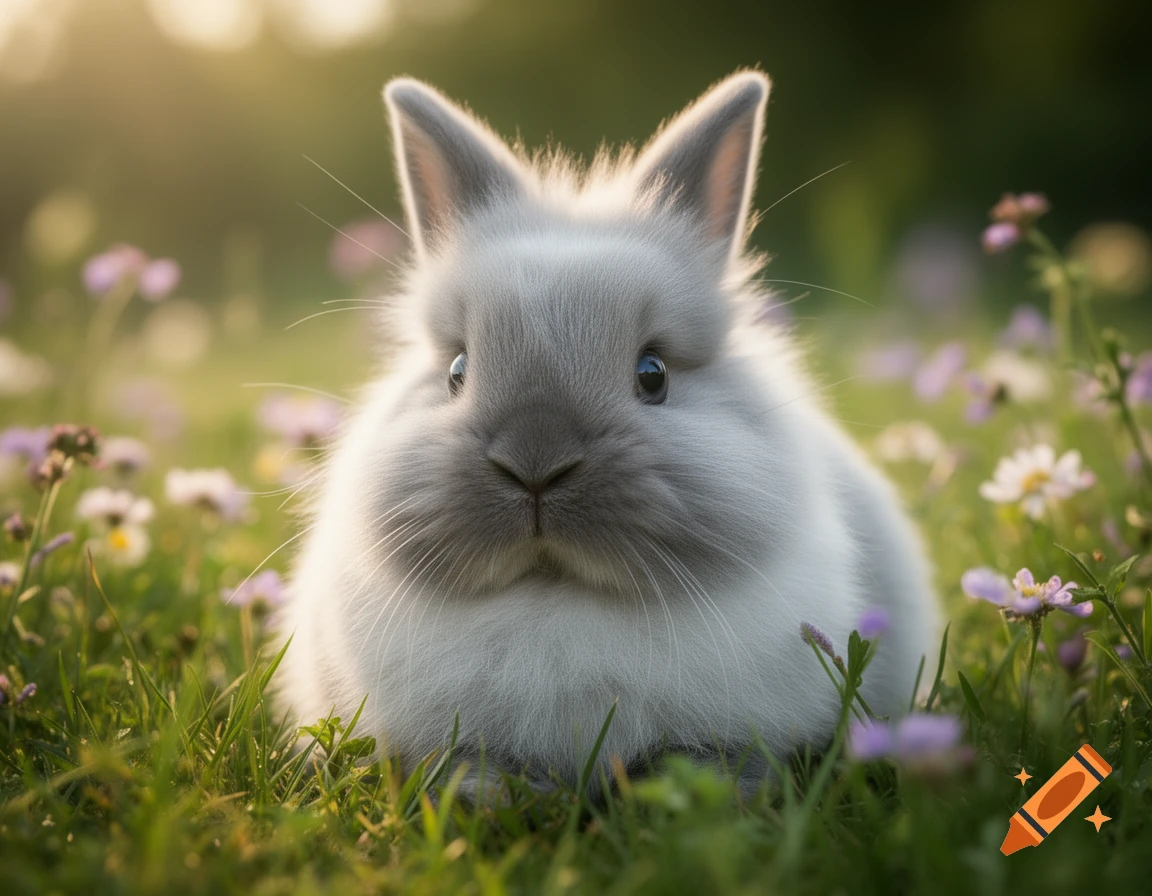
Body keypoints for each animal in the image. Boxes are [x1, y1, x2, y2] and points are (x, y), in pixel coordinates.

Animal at [273, 70, 940, 797]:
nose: (535, 462)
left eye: (653, 374)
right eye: (456, 370)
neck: (555, 601)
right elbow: (463, 763)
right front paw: (485, 797)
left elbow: (720, 766)